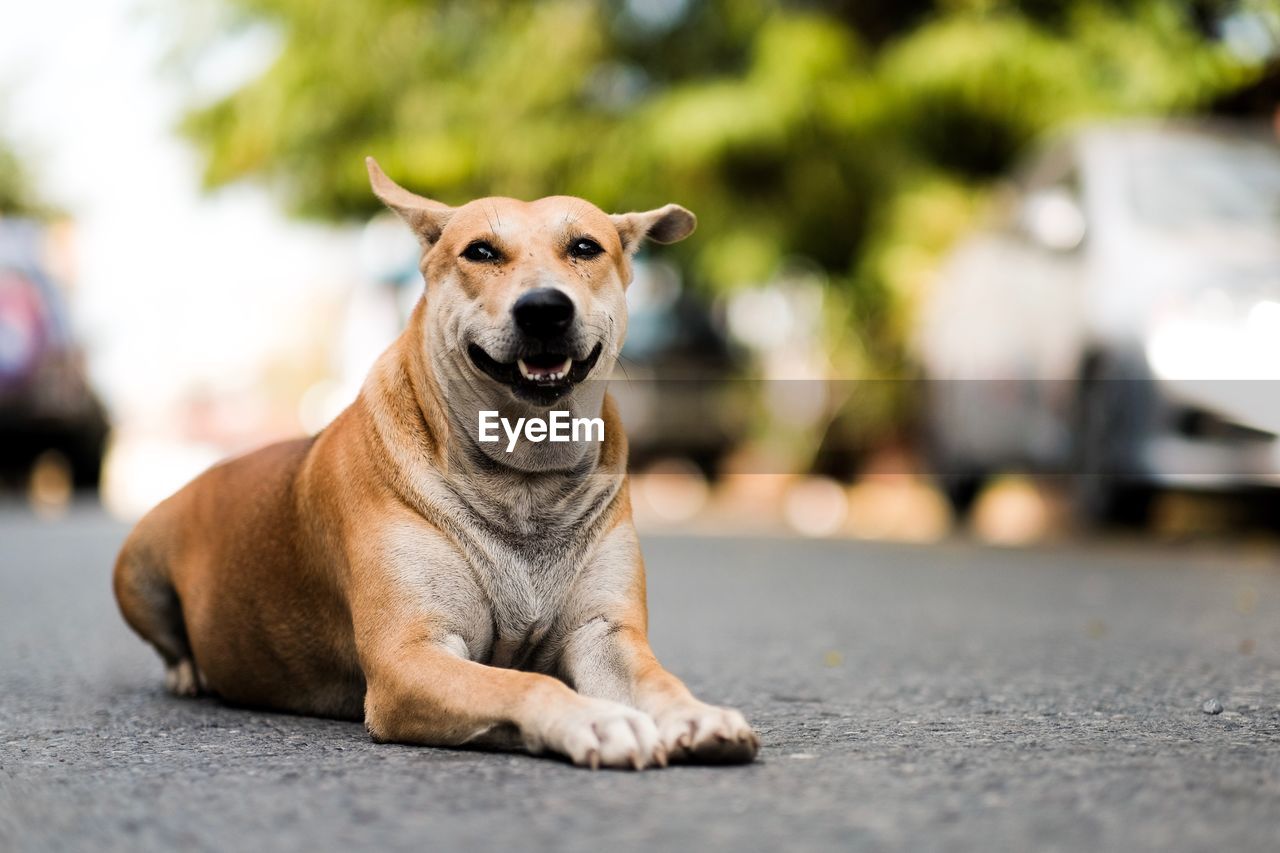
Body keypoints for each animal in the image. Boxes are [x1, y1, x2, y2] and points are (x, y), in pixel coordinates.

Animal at [112, 156, 757, 768]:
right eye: (481, 251)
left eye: (584, 247)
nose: (544, 309)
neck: (525, 478)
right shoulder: (409, 660)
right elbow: (522, 685)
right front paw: (596, 720)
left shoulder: (605, 634)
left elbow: (656, 679)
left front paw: (696, 715)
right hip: (137, 566)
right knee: (168, 640)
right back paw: (188, 671)